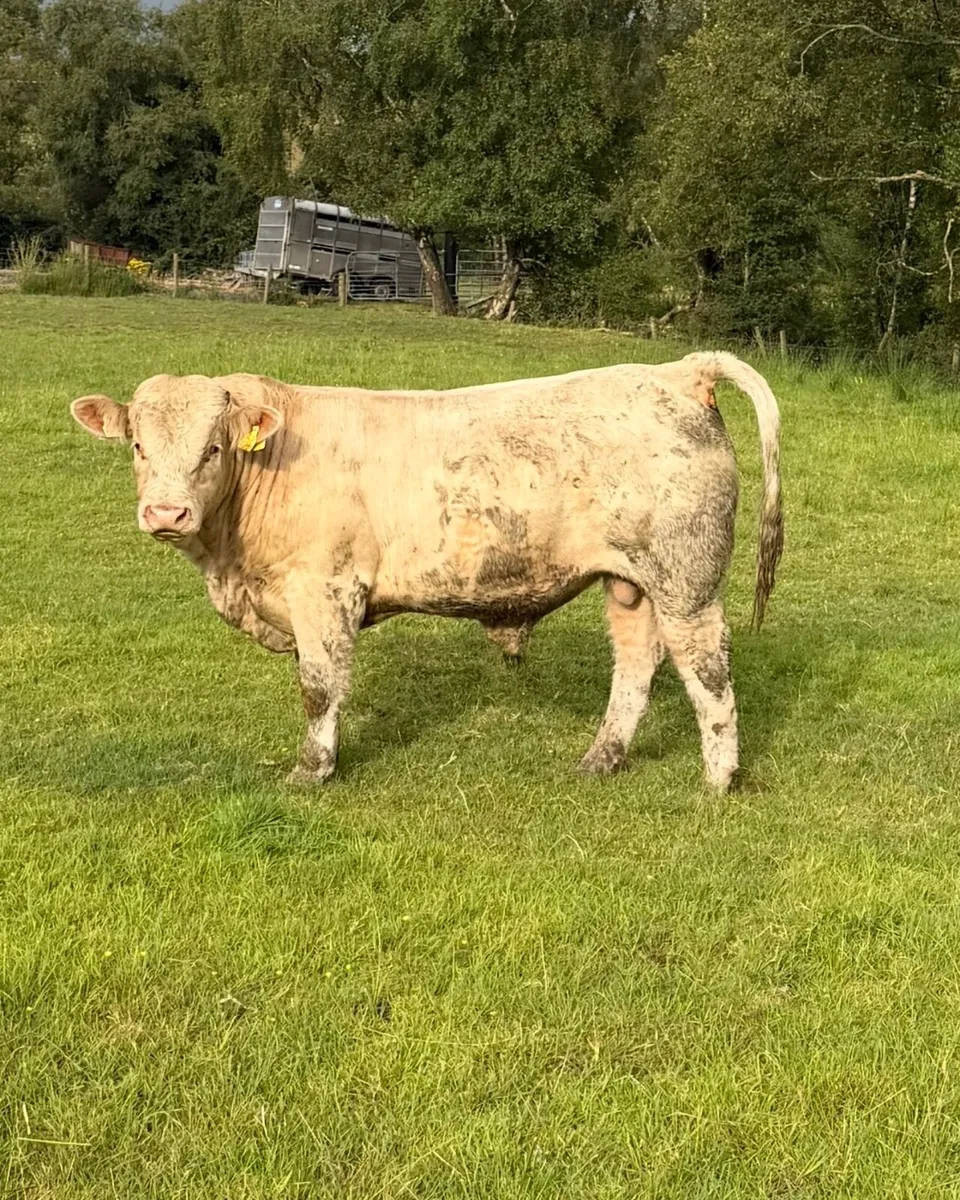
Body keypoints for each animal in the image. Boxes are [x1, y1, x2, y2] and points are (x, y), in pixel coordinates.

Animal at [70, 351, 782, 791]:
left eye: (213, 447)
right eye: (138, 445)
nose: (166, 512)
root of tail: (677, 371)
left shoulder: (324, 590)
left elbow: (319, 687)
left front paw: (312, 771)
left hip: (687, 581)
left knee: (707, 670)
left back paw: (719, 779)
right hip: (632, 583)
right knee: (635, 664)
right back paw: (600, 760)